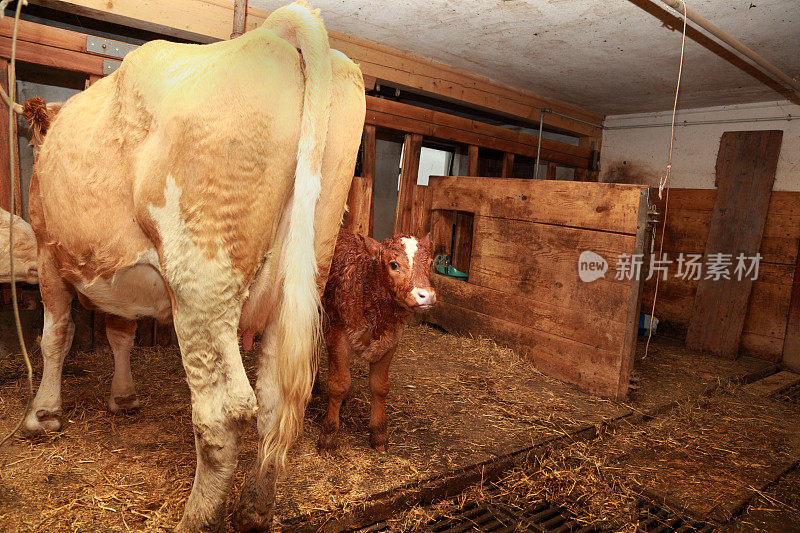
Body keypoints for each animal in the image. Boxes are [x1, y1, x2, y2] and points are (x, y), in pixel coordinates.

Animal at [15, 3, 366, 528]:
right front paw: (124, 397)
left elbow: (56, 334)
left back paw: (196, 518)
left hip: (202, 278)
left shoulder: (48, 251)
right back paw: (254, 508)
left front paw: (43, 415)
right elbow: (120, 332)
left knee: (222, 413)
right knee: (275, 400)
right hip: (303, 272)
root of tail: (272, 36)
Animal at [316, 229, 434, 454]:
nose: (427, 295)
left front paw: (379, 435)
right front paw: (327, 436)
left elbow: (380, 386)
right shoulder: (337, 335)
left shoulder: (391, 341)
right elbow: (339, 384)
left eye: (431, 263)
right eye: (394, 264)